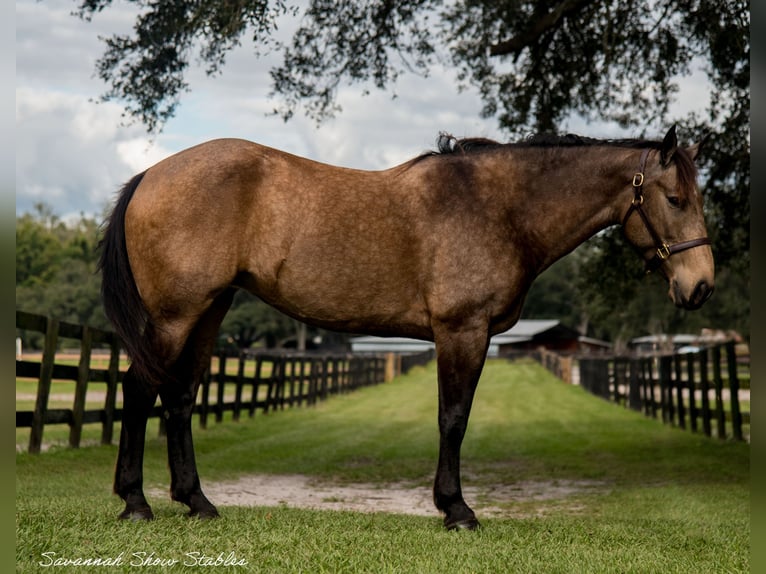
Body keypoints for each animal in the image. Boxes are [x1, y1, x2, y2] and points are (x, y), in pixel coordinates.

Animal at [99, 125, 716, 532]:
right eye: (674, 198)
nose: (701, 286)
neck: (499, 208)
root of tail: (151, 174)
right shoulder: (462, 331)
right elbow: (453, 418)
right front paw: (457, 511)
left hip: (210, 309)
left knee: (180, 397)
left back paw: (197, 502)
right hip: (175, 316)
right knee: (140, 390)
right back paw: (136, 503)